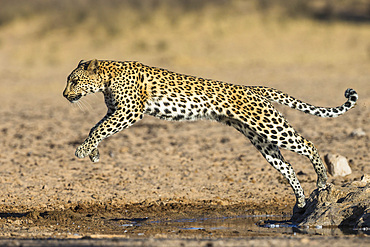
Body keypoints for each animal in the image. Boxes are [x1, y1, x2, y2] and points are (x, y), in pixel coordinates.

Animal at [62, 58, 356, 209]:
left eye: (74, 80)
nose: (64, 95)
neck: (106, 78)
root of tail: (252, 88)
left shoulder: (130, 111)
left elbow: (100, 128)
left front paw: (83, 150)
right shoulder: (117, 111)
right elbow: (96, 128)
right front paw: (93, 153)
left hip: (271, 127)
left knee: (308, 143)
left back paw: (322, 181)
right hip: (260, 139)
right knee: (287, 166)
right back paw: (300, 200)